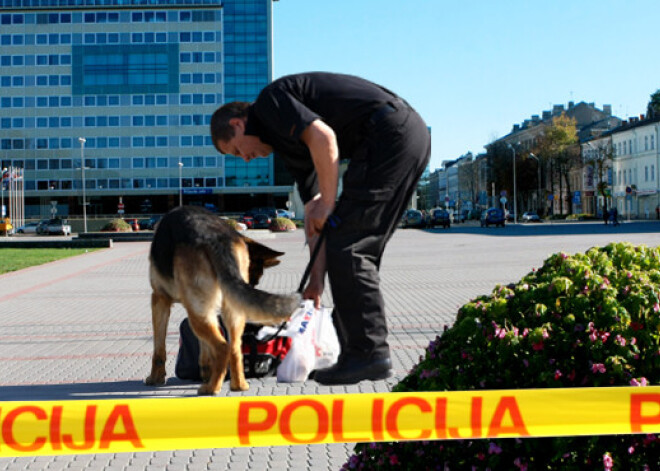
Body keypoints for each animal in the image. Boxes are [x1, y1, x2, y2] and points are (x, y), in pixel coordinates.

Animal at [146, 206, 300, 394]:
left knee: (222, 347)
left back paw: (212, 388)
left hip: (199, 314)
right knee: (234, 348)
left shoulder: (159, 299)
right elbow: (204, 348)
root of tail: (216, 238)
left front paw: (155, 378)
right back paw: (237, 385)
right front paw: (206, 371)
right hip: (230, 313)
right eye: (253, 277)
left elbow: (159, 348)